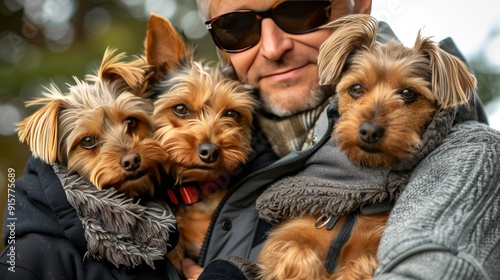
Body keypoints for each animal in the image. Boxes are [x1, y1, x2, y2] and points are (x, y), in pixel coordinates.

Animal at [258, 14, 476, 280]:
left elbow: (362, 261)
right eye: (356, 89)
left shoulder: (374, 243)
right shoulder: (280, 241)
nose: (370, 130)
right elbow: (297, 252)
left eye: (408, 93)